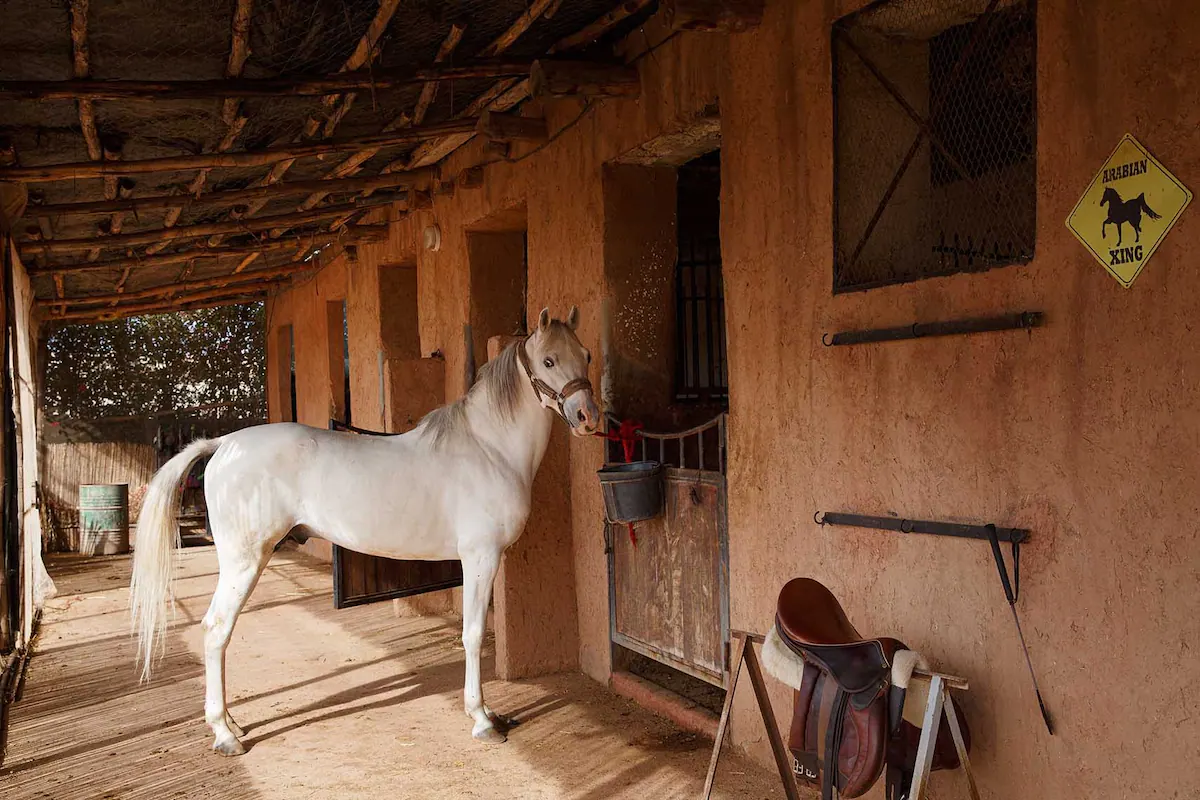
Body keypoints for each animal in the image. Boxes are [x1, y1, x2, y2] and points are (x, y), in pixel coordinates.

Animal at [130, 307, 600, 755]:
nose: (588, 417)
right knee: (216, 630)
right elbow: (473, 634)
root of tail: (224, 444)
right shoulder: (480, 557)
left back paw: (232, 723)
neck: (488, 449)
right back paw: (225, 734)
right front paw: (482, 719)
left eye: (588, 355)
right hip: (244, 562)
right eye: (548, 360)